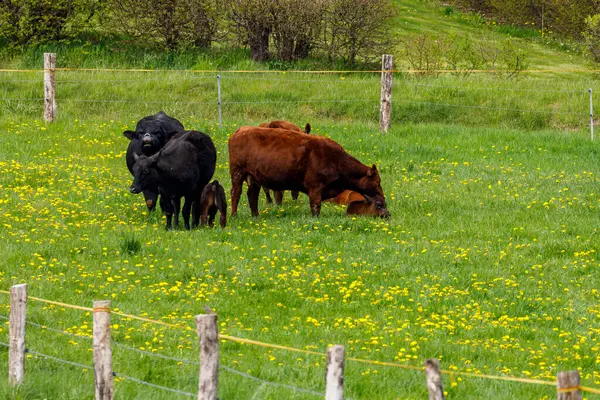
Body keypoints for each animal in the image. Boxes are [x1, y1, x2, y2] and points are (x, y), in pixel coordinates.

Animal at [227, 126, 386, 217]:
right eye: (377, 181)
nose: (382, 196)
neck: (336, 160)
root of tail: (239, 131)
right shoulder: (315, 187)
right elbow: (316, 205)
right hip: (237, 173)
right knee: (236, 193)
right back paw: (234, 216)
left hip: (254, 178)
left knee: (252, 195)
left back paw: (255, 215)